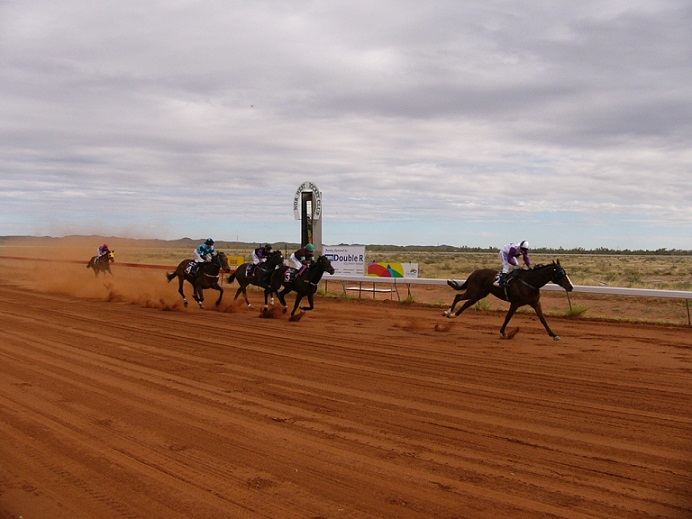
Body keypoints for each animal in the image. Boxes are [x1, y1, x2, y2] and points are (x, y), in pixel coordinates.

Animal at [444, 260, 572, 342]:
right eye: (560, 273)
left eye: (565, 272)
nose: (571, 287)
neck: (530, 282)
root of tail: (474, 272)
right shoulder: (515, 303)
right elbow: (508, 317)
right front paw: (504, 333)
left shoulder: (535, 303)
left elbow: (543, 319)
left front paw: (554, 335)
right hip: (474, 292)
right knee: (460, 298)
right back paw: (450, 313)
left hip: (480, 294)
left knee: (463, 300)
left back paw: (450, 313)